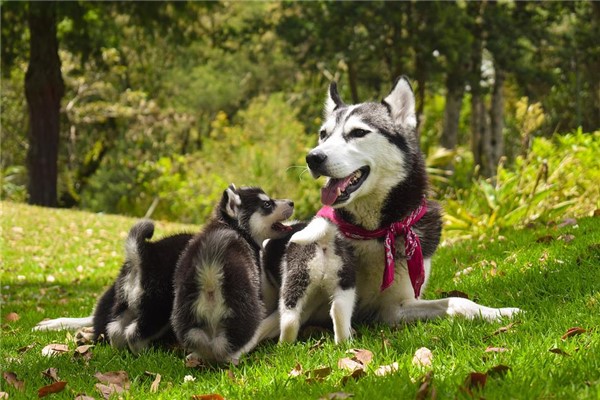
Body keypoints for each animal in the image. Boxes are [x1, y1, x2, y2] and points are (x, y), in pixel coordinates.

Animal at [171, 184, 296, 362]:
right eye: (267, 204)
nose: (292, 202)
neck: (232, 226)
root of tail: (210, 275)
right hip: (247, 310)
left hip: (186, 316)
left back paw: (196, 356)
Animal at [290, 77, 520, 324]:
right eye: (323, 134)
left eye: (359, 132)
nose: (313, 158)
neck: (376, 232)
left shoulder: (394, 307)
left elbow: (458, 301)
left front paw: (498, 312)